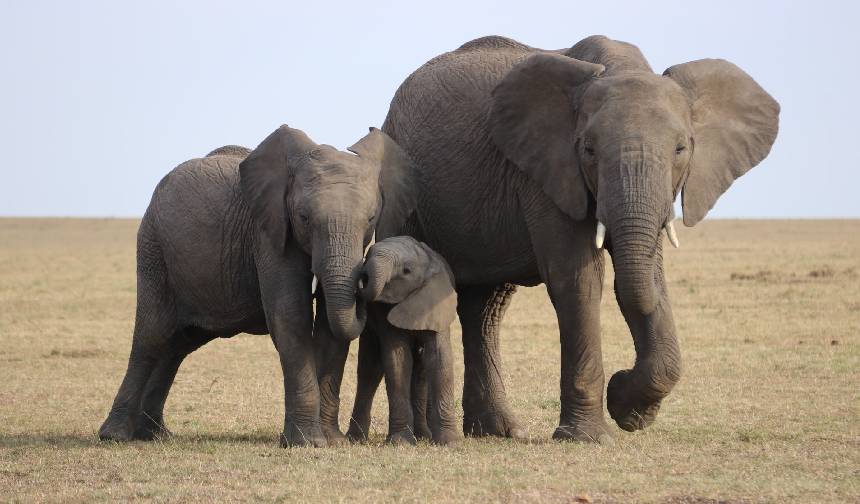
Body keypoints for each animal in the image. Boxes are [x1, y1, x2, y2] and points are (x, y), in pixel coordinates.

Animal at [97, 124, 416, 446]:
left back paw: (155, 434)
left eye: (371, 218)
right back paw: (115, 435)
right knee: (152, 336)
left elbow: (330, 326)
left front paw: (332, 441)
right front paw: (307, 442)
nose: (365, 282)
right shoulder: (268, 232)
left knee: (177, 345)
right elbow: (290, 316)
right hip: (153, 249)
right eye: (303, 218)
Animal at [348, 236, 464, 444]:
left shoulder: (436, 303)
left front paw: (450, 442)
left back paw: (423, 436)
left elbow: (439, 358)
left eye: (406, 271)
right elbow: (397, 360)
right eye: (367, 256)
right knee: (370, 370)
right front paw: (400, 442)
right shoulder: (382, 311)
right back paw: (356, 439)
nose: (362, 275)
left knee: (420, 371)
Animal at [380, 35, 784, 442]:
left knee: (486, 308)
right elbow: (578, 278)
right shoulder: (546, 172)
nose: (621, 382)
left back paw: (500, 431)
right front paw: (592, 434)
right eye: (588, 149)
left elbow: (648, 277)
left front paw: (631, 412)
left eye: (681, 149)